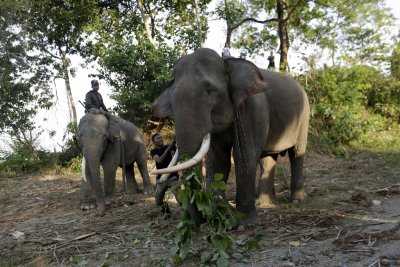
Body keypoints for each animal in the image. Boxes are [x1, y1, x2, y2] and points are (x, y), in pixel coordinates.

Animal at [152, 48, 310, 226]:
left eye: (210, 91)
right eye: (172, 101)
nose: (204, 218)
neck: (227, 62)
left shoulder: (252, 109)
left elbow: (245, 158)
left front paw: (245, 222)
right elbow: (219, 160)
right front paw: (224, 214)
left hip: (304, 116)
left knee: (296, 153)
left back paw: (296, 200)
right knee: (268, 159)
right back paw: (267, 204)